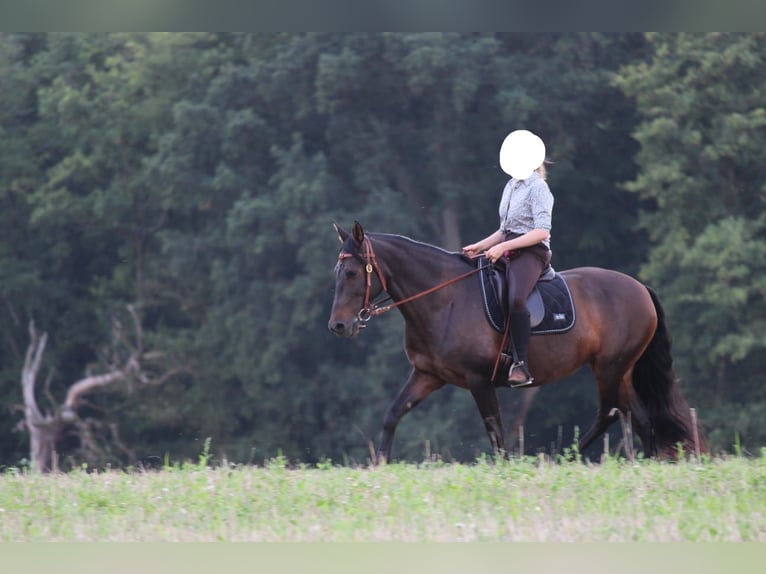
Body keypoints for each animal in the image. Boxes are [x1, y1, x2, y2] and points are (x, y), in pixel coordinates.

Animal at [328, 221, 703, 463]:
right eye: (337, 273)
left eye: (352, 273)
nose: (339, 326)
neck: (445, 300)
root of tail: (640, 288)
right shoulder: (427, 375)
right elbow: (392, 414)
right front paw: (380, 465)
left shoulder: (479, 379)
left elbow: (496, 435)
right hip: (621, 370)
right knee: (638, 417)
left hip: (610, 367)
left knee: (609, 413)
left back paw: (561, 458)